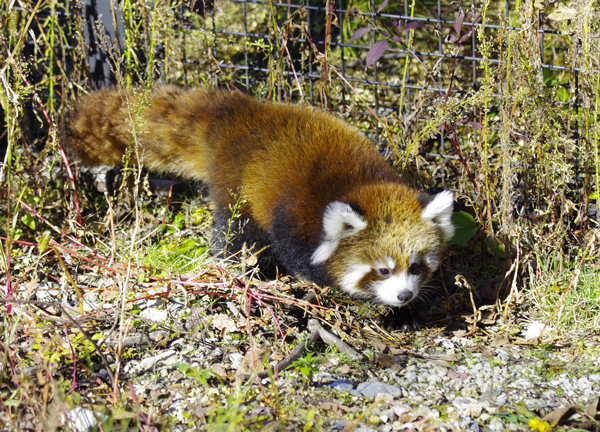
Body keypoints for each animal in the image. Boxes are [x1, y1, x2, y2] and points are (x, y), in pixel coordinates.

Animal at [64, 86, 454, 326]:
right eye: (383, 270)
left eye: (416, 267)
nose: (404, 294)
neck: (359, 184)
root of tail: (239, 110)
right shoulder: (295, 222)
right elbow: (304, 264)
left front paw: (409, 310)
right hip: (236, 187)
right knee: (235, 234)